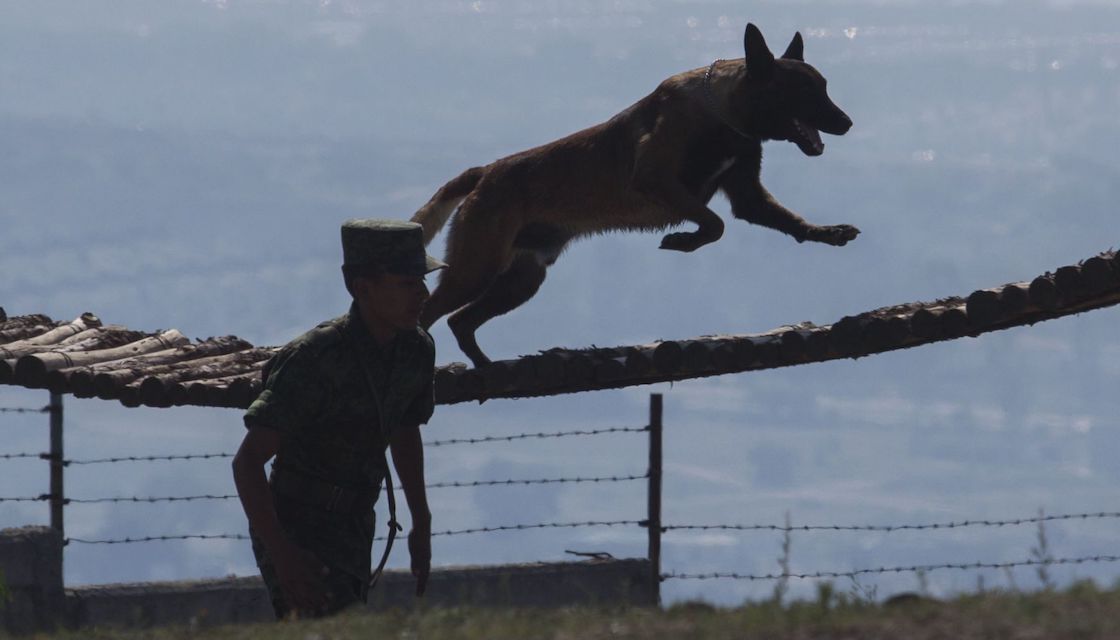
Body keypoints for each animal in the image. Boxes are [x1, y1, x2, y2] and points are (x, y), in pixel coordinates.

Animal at [412, 23, 855, 365]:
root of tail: (485, 172)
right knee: (431, 311)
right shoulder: (655, 179)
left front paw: (828, 232)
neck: (723, 113)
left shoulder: (748, 196)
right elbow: (714, 224)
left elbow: (782, 220)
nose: (848, 123)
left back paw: (484, 367)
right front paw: (684, 240)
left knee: (459, 321)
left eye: (825, 87)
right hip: (478, 268)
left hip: (521, 280)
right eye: (805, 91)